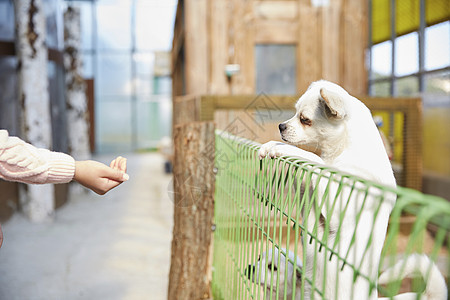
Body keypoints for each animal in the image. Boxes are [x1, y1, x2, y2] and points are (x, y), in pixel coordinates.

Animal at [256, 80, 446, 300]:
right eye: (295, 113)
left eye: (305, 120)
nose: (281, 126)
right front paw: (274, 146)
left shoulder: (337, 207)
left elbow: (316, 160)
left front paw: (284, 149)